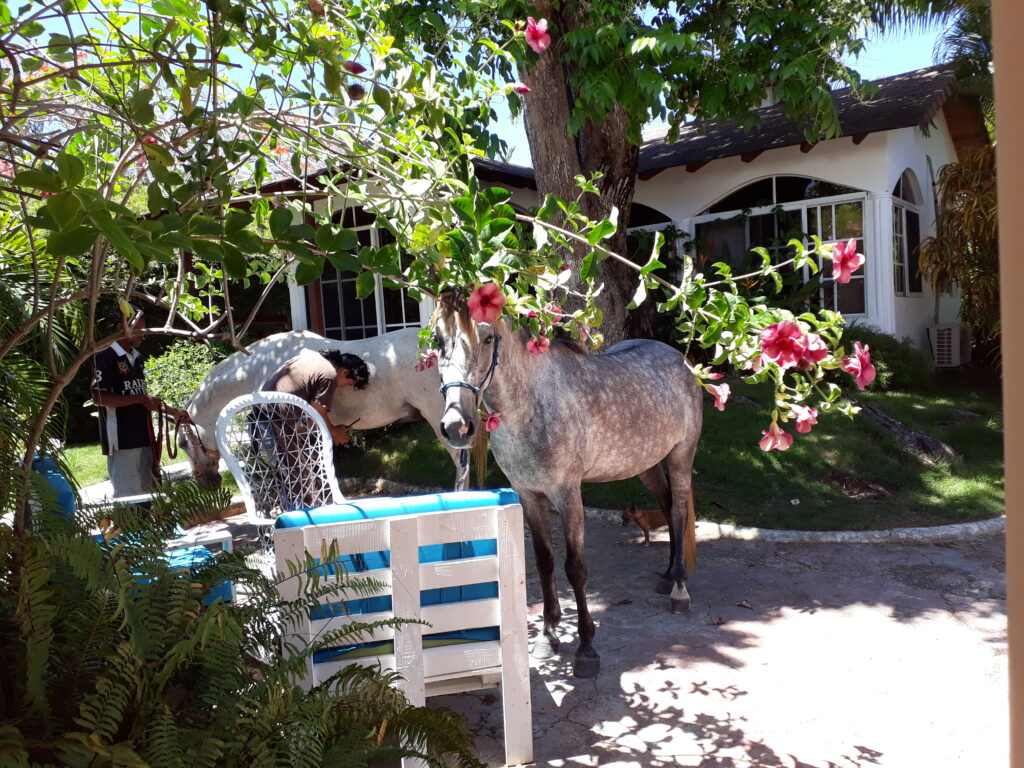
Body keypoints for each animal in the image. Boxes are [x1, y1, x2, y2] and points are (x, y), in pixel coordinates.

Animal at [431, 299, 702, 678]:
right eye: (438, 339)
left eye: (486, 339)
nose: (457, 427)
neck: (533, 407)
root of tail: (681, 360)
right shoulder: (529, 495)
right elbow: (544, 562)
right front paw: (548, 636)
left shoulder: (568, 494)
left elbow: (575, 567)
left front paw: (586, 647)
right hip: (646, 463)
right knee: (665, 506)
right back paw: (665, 576)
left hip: (680, 457)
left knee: (677, 513)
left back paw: (679, 589)